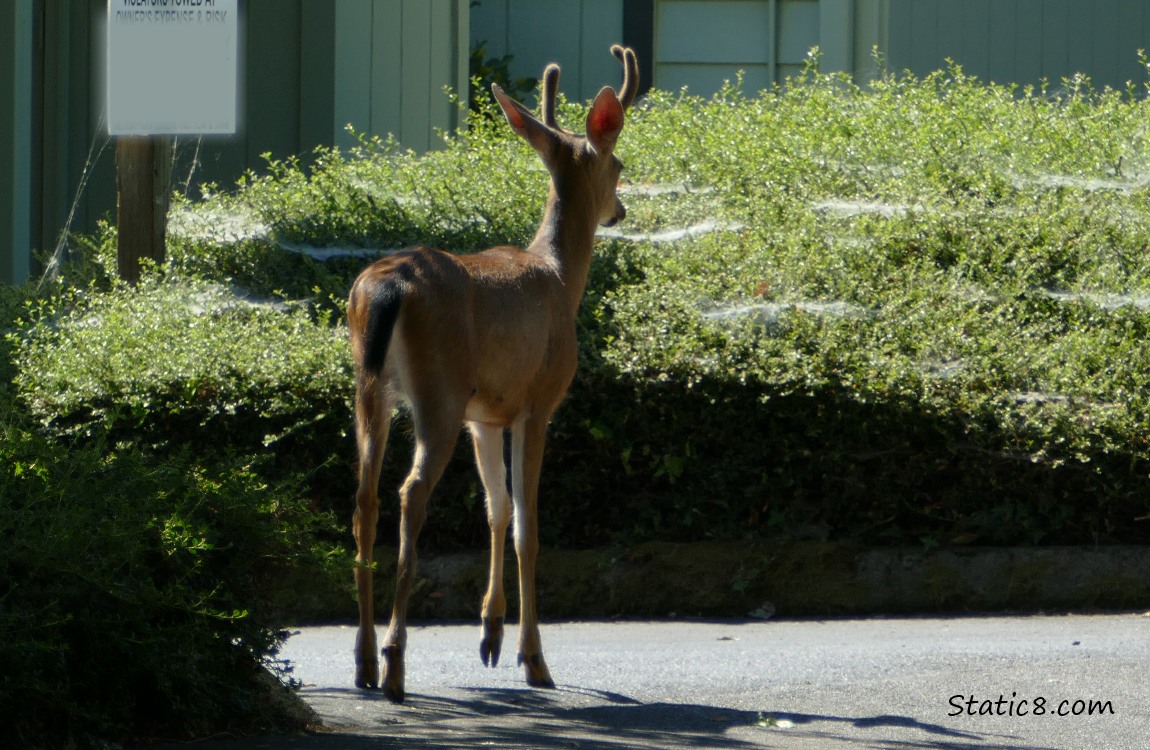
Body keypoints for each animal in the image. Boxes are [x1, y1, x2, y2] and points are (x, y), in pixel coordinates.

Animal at [346, 45, 639, 703]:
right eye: (620, 164)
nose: (619, 210)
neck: (560, 276)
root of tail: (388, 287)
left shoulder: (486, 414)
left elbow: (496, 508)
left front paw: (491, 634)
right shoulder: (538, 400)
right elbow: (527, 524)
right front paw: (533, 658)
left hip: (369, 389)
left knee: (365, 496)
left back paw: (364, 663)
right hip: (439, 392)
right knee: (410, 493)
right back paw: (395, 663)